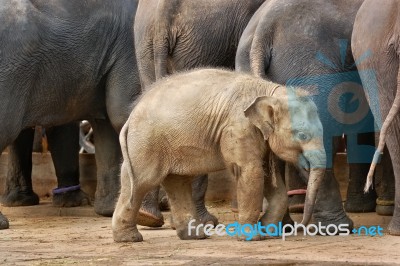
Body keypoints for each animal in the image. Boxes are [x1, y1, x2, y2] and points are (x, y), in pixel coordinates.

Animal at [111, 69, 324, 243]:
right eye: (302, 135)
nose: (300, 227)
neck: (270, 91)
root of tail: (130, 117)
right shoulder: (238, 128)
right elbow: (251, 172)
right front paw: (253, 237)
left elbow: (268, 178)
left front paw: (266, 230)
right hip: (146, 143)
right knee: (141, 181)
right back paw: (130, 238)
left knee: (176, 183)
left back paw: (194, 236)